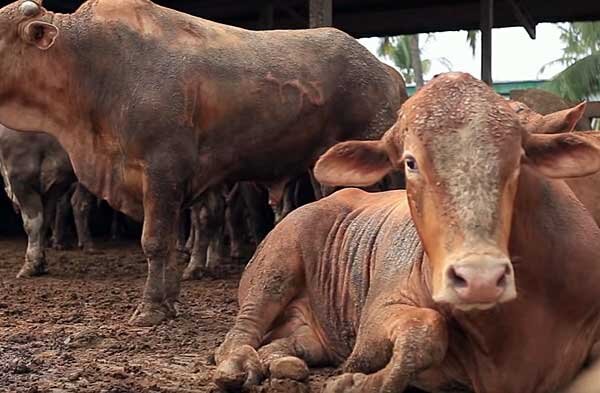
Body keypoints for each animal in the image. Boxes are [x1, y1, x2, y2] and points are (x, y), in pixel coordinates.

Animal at [214, 73, 600, 392]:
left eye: (518, 158)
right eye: (410, 162)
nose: (480, 278)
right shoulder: (377, 317)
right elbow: (426, 330)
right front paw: (355, 381)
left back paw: (282, 362)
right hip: (274, 269)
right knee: (239, 332)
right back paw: (238, 365)